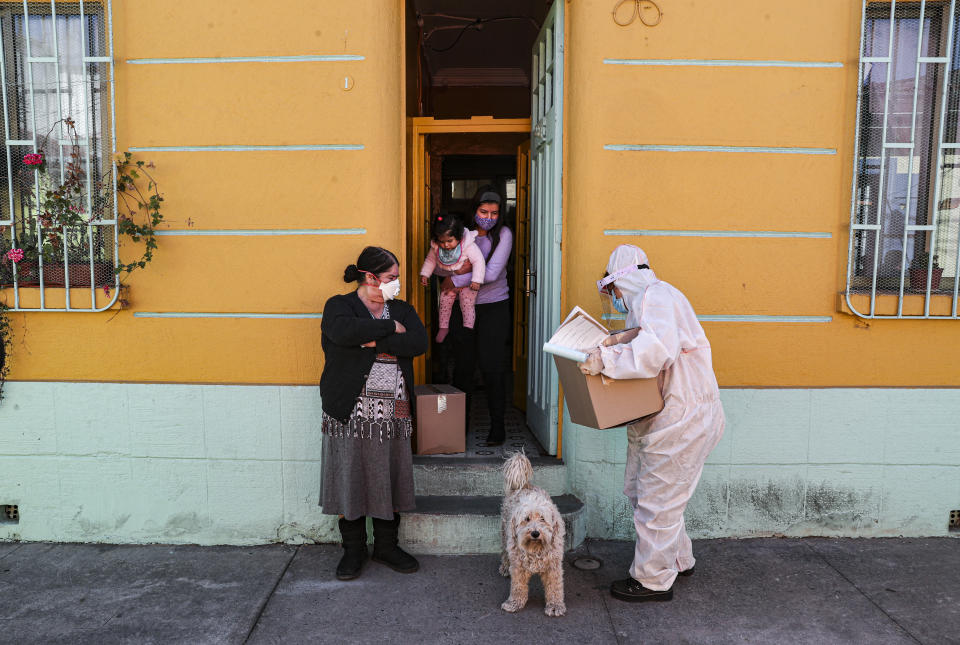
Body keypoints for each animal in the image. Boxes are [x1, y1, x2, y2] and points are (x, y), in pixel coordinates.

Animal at [498, 450, 568, 616]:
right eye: (527, 519)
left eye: (543, 518)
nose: (535, 533)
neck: (535, 548)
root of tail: (524, 486)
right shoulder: (518, 566)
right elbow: (517, 587)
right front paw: (514, 603)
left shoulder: (553, 566)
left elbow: (555, 588)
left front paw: (555, 606)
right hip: (505, 534)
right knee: (505, 553)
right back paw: (505, 567)